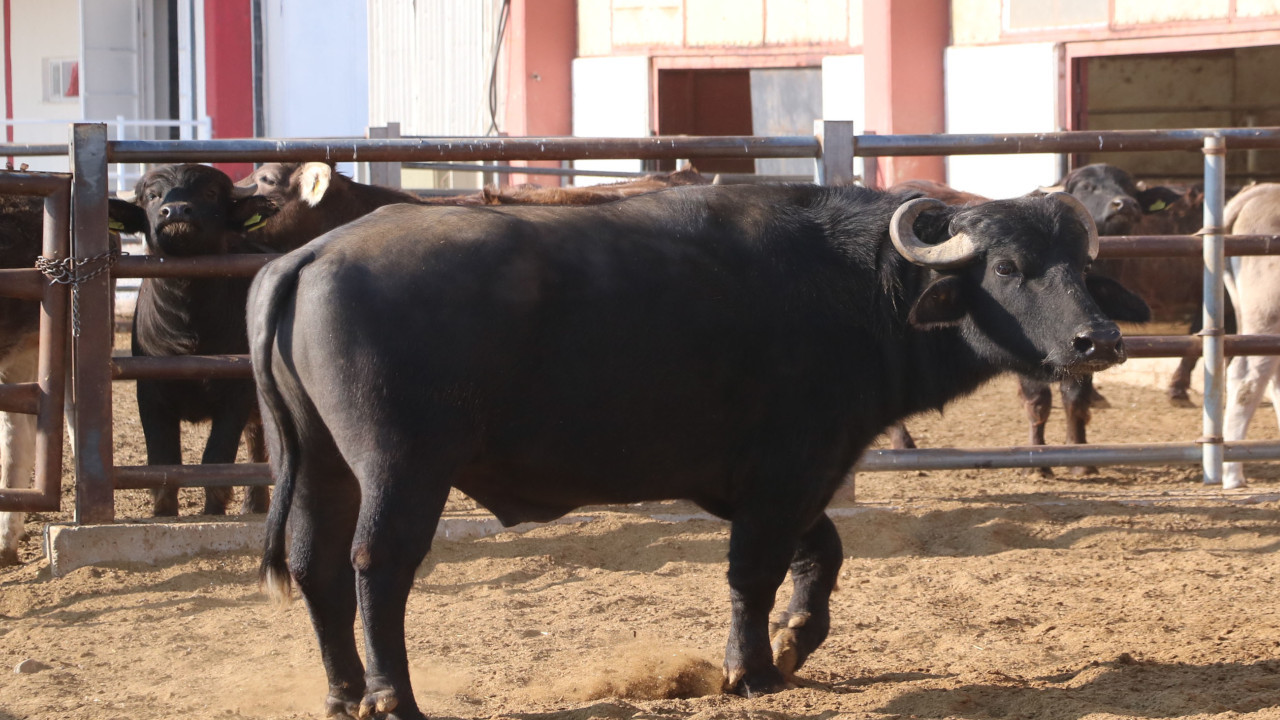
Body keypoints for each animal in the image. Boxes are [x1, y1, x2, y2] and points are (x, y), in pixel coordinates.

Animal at [111, 163, 279, 515]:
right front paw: (163, 514)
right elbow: (164, 463)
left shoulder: (235, 395)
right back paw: (255, 504)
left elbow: (216, 461)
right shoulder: (150, 394)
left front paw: (214, 510)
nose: (176, 211)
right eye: (153, 195)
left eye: (210, 193)